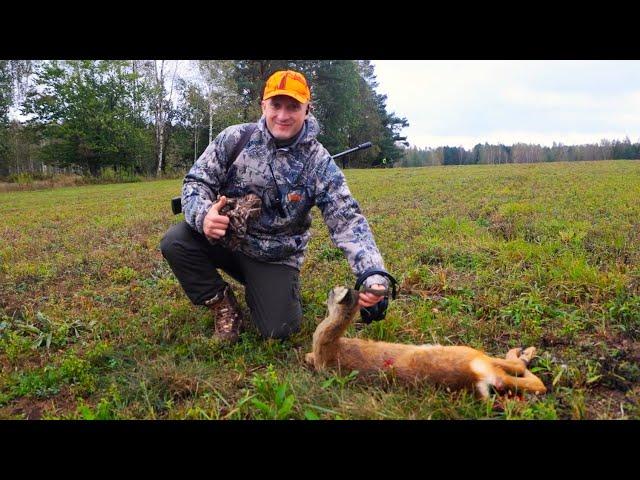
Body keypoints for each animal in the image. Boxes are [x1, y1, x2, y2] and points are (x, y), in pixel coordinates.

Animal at [304, 286, 544, 400]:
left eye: (333, 291)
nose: (329, 289)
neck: (328, 345)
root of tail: (475, 378)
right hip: (467, 352)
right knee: (525, 375)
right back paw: (524, 351)